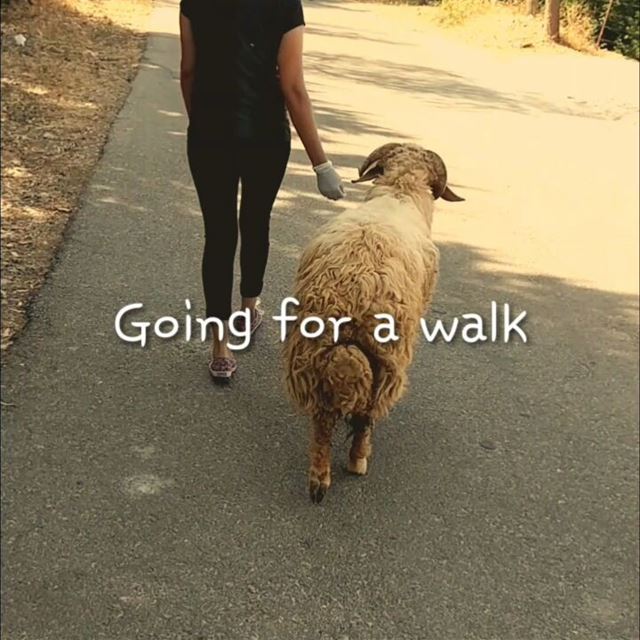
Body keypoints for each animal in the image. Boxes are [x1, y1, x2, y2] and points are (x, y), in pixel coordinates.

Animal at [282, 142, 462, 502]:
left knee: (323, 419)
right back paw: (357, 461)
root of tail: (353, 295)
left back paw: (319, 478)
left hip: (316, 352)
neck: (398, 192)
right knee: (364, 416)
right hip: (386, 360)